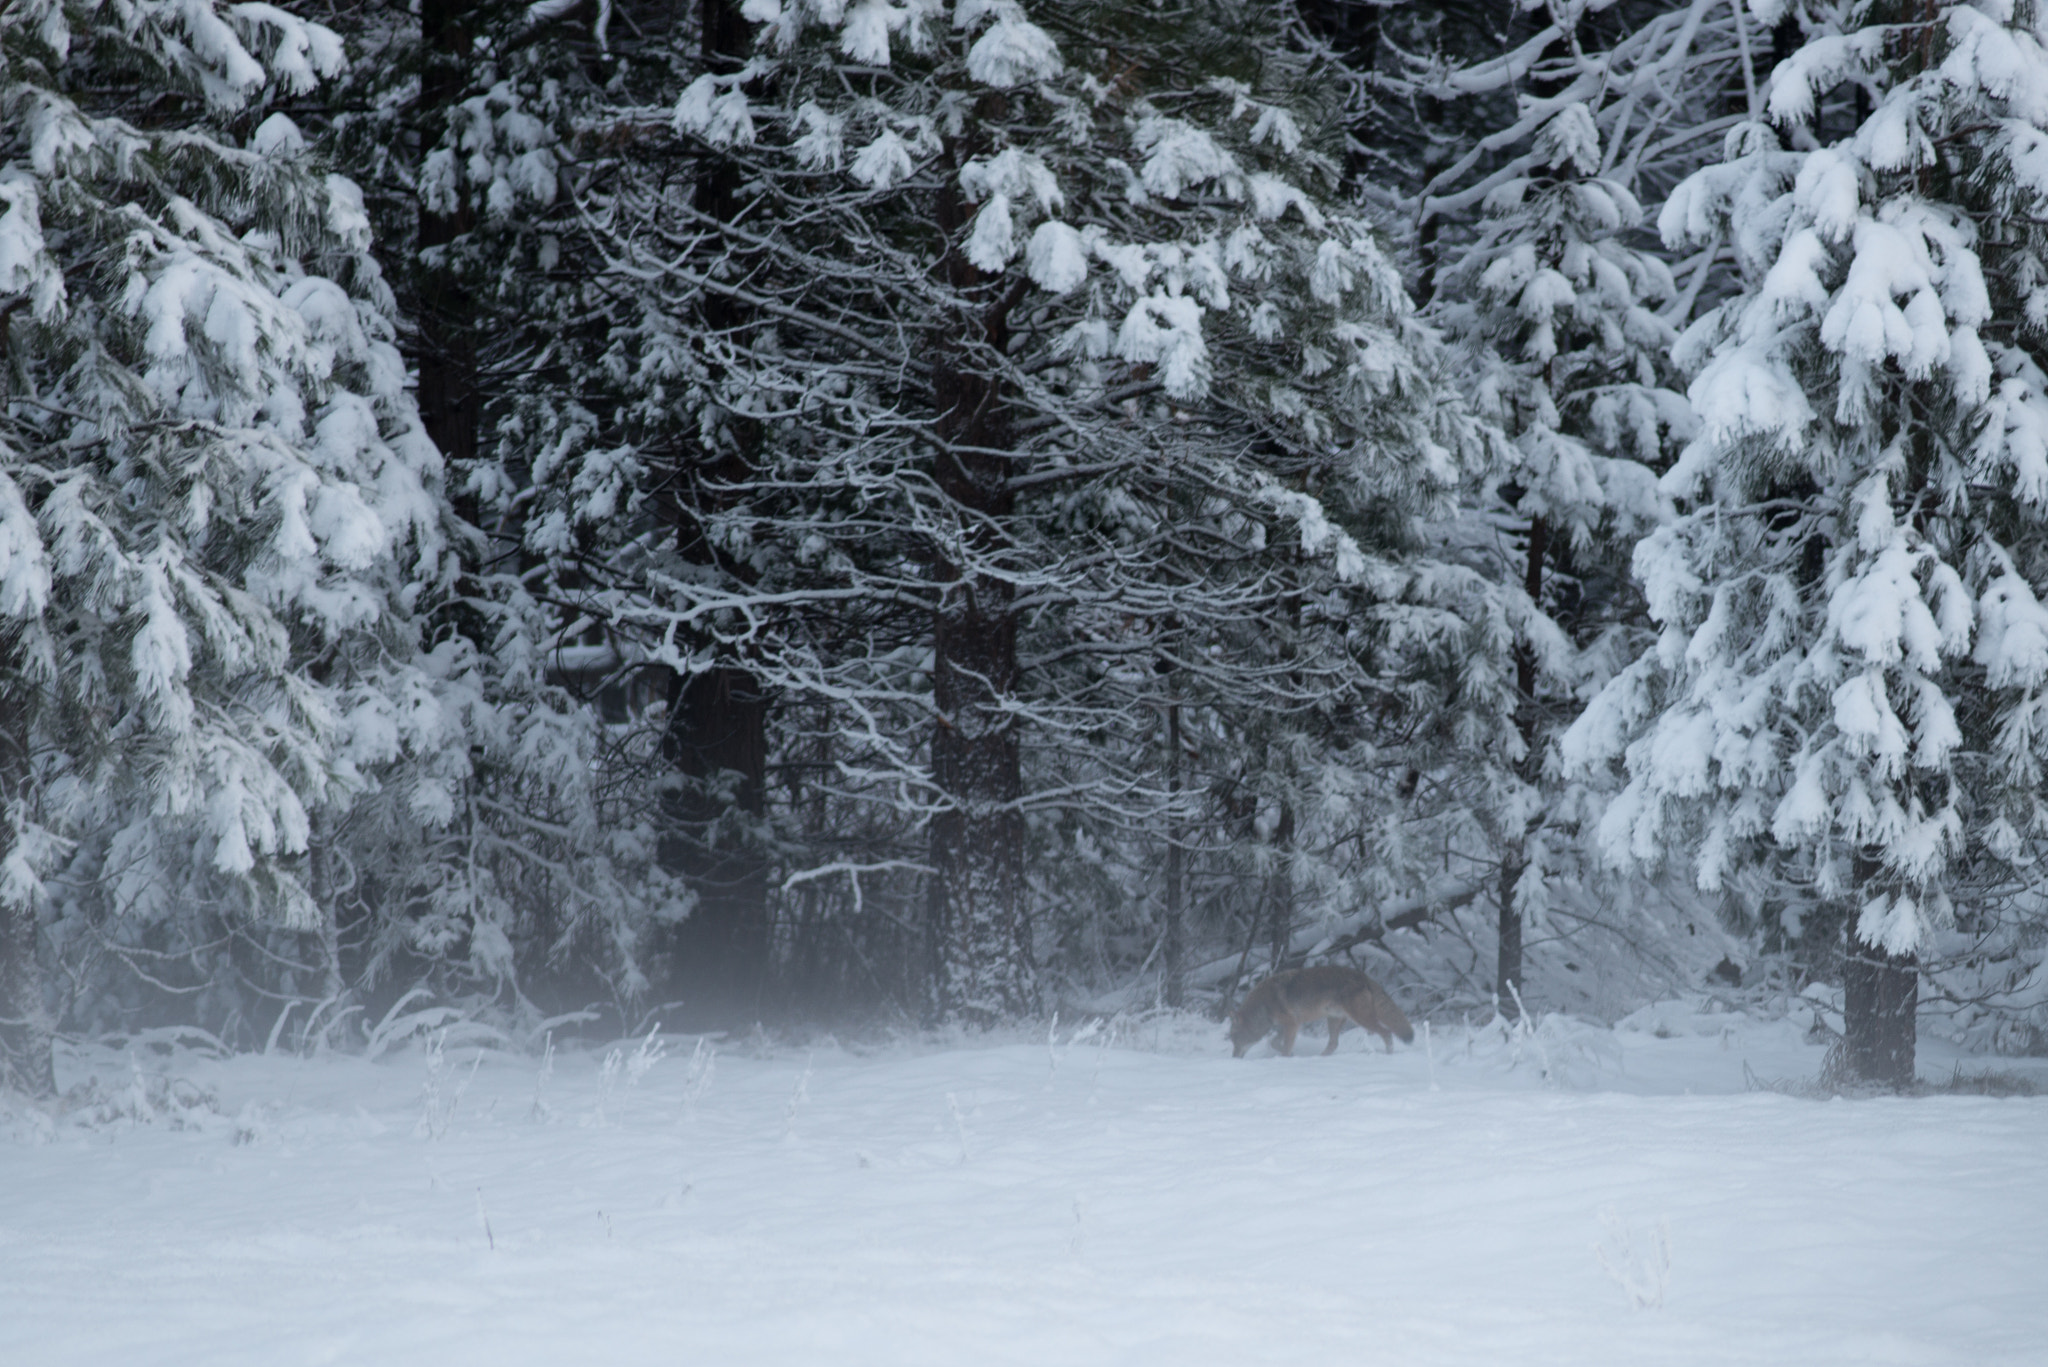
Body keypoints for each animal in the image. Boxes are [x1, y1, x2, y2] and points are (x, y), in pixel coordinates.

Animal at [1228, 963, 1409, 1057]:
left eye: (1235, 1039)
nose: (1234, 1057)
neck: (1263, 1006)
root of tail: (1364, 976)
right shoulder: (1287, 1026)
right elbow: (1274, 1042)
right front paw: (1291, 1055)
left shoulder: (1292, 1024)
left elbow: (1284, 1047)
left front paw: (1286, 1057)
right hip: (1334, 1020)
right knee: (1334, 1044)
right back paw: (1320, 1058)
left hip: (1361, 1019)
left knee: (1387, 1033)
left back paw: (1389, 1055)